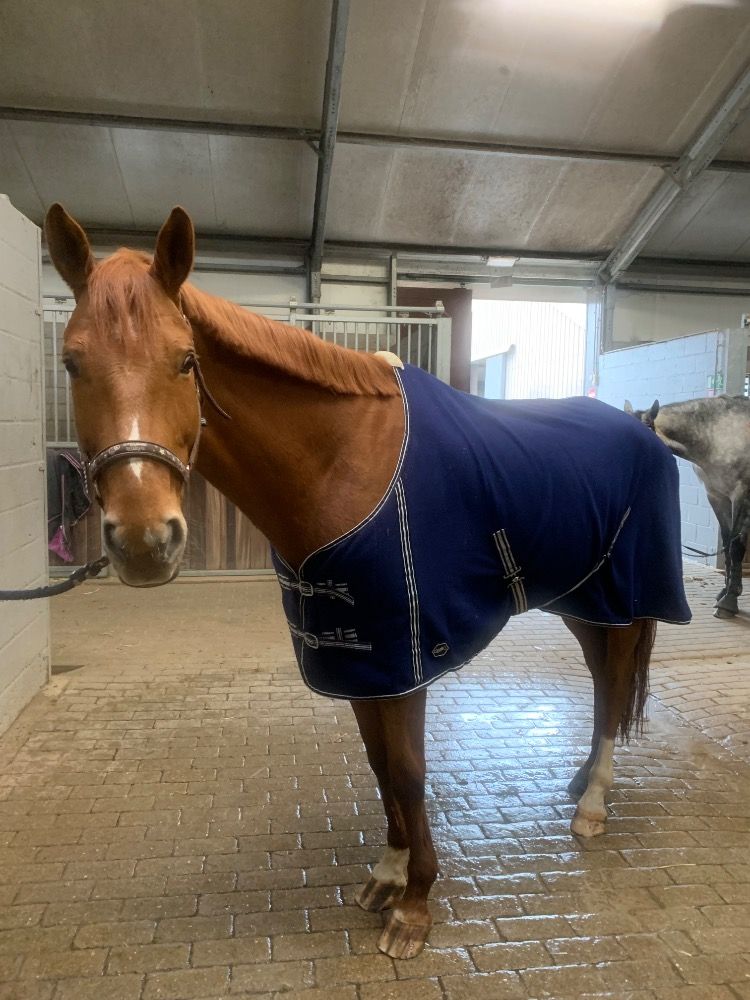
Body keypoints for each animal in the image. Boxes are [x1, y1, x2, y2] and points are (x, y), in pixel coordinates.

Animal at [44, 203, 691, 960]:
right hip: (582, 601)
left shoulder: (403, 658)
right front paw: (388, 871)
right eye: (72, 362)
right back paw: (582, 781)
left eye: (185, 360)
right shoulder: (357, 660)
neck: (344, 462)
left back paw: (592, 806)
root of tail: (644, 428)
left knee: (614, 686)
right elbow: (380, 765)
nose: (146, 540)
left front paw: (416, 903)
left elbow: (408, 771)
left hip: (623, 601)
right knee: (600, 685)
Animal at [625, 397, 750, 619]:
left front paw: (728, 602)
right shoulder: (717, 496)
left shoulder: (740, 495)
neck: (718, 435)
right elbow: (727, 543)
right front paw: (726, 592)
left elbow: (735, 546)